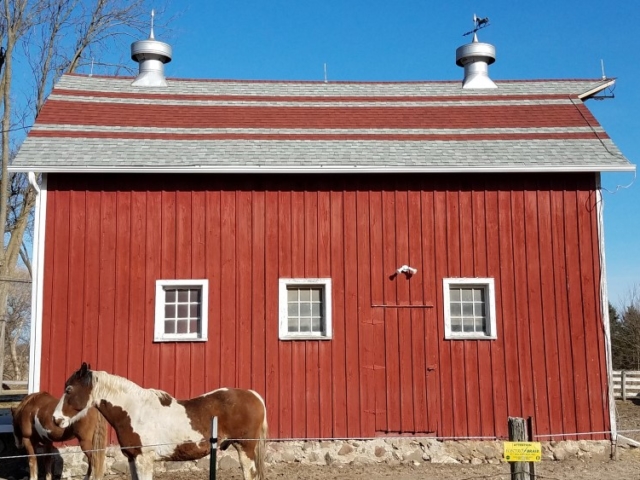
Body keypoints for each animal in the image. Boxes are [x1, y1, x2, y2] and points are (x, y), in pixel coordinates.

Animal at [52, 364, 268, 480]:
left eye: (69, 390)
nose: (56, 419)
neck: (134, 410)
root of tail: (254, 395)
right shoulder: (132, 459)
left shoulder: (144, 459)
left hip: (245, 449)